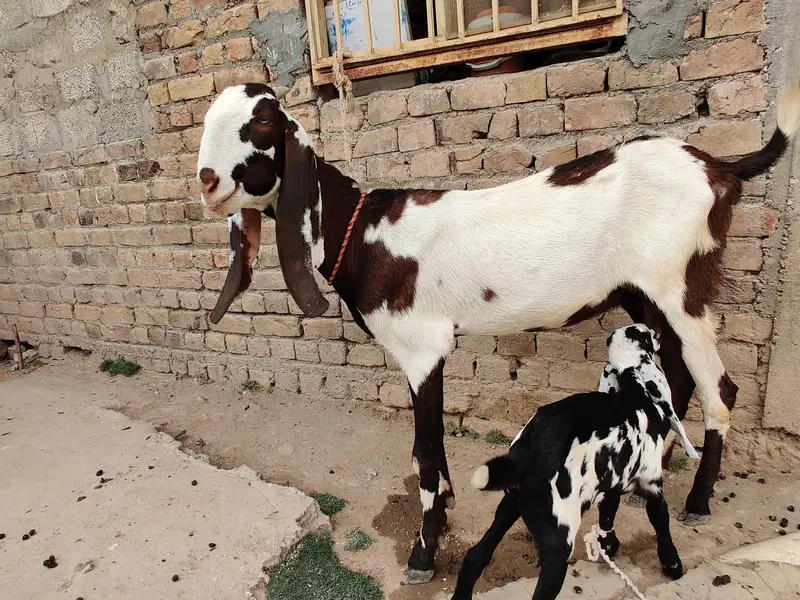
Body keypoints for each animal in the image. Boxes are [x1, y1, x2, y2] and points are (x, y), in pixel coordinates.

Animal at [453, 324, 692, 600]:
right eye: (646, 333)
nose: (659, 330)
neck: (635, 394)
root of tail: (529, 454)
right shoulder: (651, 483)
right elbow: (660, 520)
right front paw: (672, 564)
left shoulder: (611, 480)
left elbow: (608, 513)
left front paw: (608, 544)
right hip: (558, 542)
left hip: (510, 505)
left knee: (475, 557)